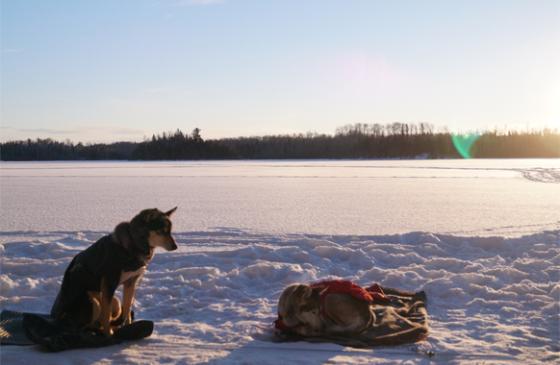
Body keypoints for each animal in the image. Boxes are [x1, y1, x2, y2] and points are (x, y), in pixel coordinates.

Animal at [50, 206, 177, 334]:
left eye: (170, 231)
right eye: (162, 231)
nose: (175, 247)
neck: (133, 245)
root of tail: (55, 320)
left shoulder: (131, 282)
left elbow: (127, 309)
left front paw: (128, 327)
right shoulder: (109, 282)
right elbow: (106, 315)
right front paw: (108, 334)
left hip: (113, 301)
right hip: (93, 302)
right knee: (83, 326)